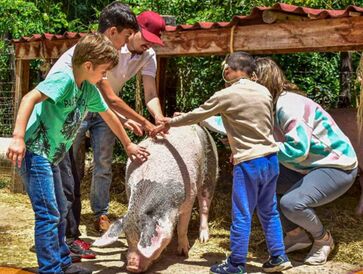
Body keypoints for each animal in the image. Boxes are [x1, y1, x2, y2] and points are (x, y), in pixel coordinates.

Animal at [94, 125, 219, 272]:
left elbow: (182, 227)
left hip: (210, 170)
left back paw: (203, 239)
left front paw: (183, 253)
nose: (131, 266)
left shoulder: (188, 199)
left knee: (205, 204)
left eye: (142, 239)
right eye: (128, 238)